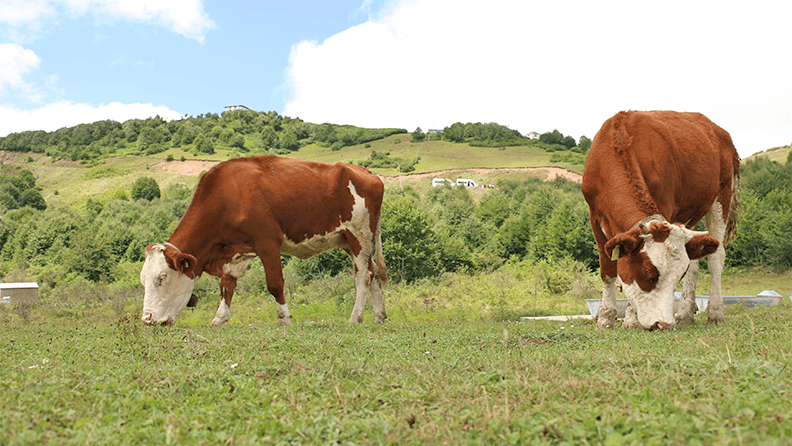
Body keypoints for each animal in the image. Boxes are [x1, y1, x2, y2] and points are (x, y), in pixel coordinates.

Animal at [144, 155, 392, 326]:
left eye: (162, 277)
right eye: (142, 280)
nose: (147, 319)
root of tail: (363, 169)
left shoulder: (268, 242)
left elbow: (274, 284)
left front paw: (284, 319)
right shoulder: (234, 250)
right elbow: (226, 286)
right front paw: (219, 319)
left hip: (359, 234)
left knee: (363, 276)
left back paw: (355, 318)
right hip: (351, 241)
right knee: (372, 274)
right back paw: (379, 316)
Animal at [580, 110, 740, 330]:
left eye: (678, 276)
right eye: (648, 273)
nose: (663, 324)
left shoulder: (666, 206)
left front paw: (630, 319)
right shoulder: (595, 217)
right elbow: (608, 269)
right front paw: (605, 319)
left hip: (721, 197)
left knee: (716, 258)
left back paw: (716, 312)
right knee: (696, 259)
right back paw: (685, 314)